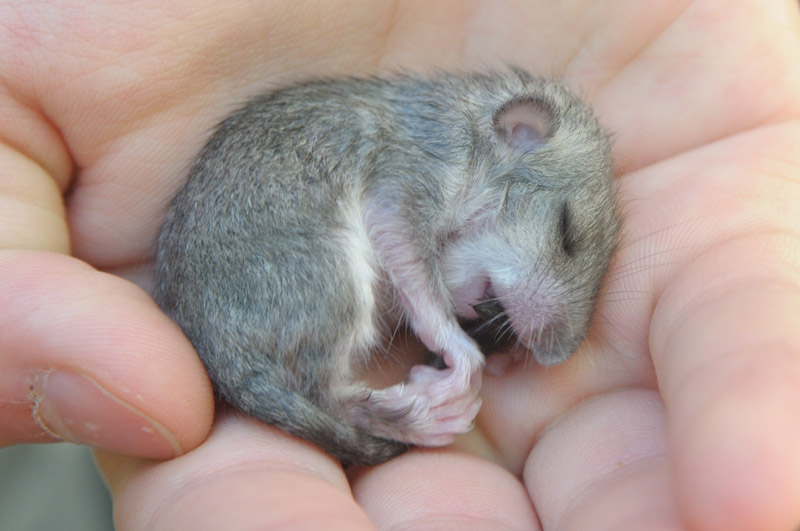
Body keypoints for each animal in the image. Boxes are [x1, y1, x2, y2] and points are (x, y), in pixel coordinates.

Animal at [154, 69, 619, 466]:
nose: (555, 357)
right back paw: (425, 419)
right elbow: (415, 272)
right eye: (566, 230)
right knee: (325, 395)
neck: (466, 125)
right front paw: (464, 359)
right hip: (328, 278)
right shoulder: (407, 183)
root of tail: (223, 358)